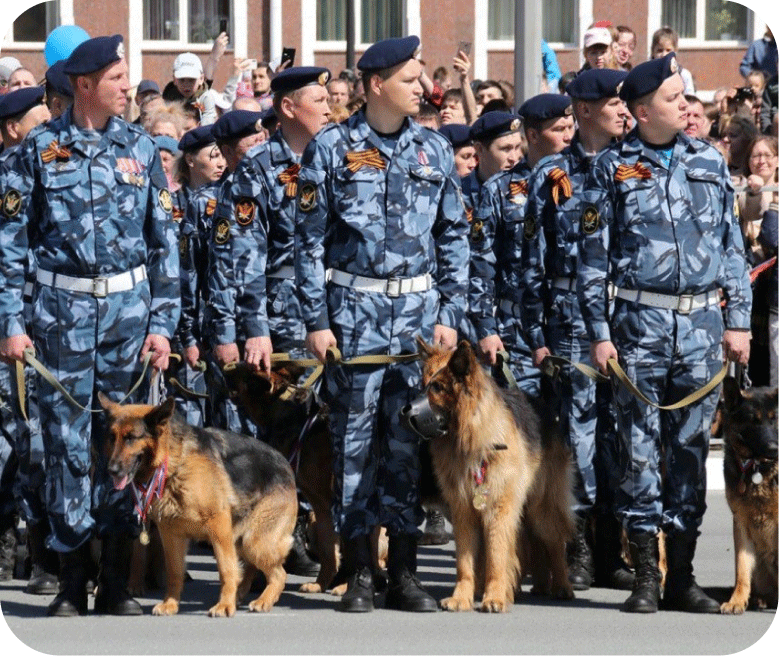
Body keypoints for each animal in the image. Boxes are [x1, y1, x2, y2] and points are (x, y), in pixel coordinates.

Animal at [100, 394, 298, 616]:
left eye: (131, 438)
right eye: (112, 437)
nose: (111, 470)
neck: (174, 461)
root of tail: (285, 463)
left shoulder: (218, 525)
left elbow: (226, 570)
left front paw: (224, 605)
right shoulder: (170, 533)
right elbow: (174, 571)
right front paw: (170, 603)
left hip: (253, 542)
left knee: (278, 574)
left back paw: (263, 600)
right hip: (241, 542)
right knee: (252, 568)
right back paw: (242, 596)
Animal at [418, 340, 576, 612]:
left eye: (437, 387)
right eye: (423, 382)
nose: (402, 412)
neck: (473, 436)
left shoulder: (498, 510)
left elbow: (496, 556)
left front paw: (495, 597)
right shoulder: (463, 511)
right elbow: (465, 562)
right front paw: (462, 597)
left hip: (541, 507)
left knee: (554, 541)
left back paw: (561, 585)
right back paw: (537, 585)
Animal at [720, 380, 779, 616]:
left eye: (774, 419)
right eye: (754, 421)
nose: (774, 449)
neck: (758, 469)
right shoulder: (741, 524)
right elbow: (742, 569)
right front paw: (736, 600)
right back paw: (759, 600)